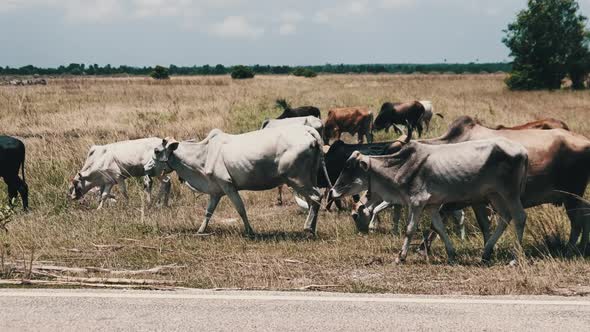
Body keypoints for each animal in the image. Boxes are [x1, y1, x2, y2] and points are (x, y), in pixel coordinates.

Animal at [142, 124, 330, 236]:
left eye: (157, 151)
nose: (145, 167)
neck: (203, 155)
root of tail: (307, 130)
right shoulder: (216, 191)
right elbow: (208, 212)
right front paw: (200, 231)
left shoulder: (228, 186)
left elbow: (241, 209)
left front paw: (250, 232)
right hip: (308, 179)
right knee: (313, 201)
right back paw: (311, 229)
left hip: (298, 180)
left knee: (315, 198)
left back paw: (308, 229)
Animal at [330, 136, 528, 264]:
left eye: (349, 167)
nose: (332, 191)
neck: (400, 166)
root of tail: (522, 150)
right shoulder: (432, 206)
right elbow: (439, 228)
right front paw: (451, 254)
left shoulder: (417, 203)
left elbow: (410, 229)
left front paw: (400, 256)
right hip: (495, 194)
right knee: (505, 217)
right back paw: (486, 253)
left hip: (509, 192)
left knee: (519, 217)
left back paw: (514, 258)